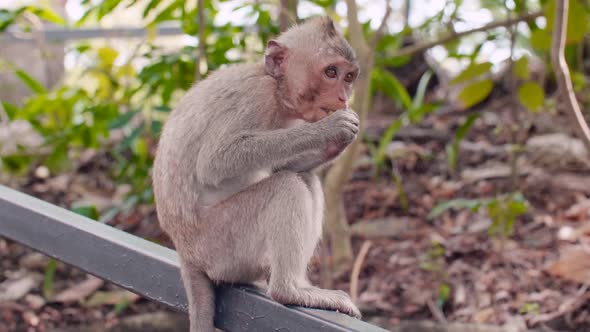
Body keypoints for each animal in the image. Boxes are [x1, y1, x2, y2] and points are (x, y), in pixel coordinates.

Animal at [154, 16, 360, 332]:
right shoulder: (256, 97)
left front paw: (338, 139)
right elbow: (216, 161)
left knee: (305, 179)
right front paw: (330, 129)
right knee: (286, 186)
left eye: (348, 77)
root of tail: (186, 254)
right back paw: (289, 290)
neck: (277, 90)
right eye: (331, 72)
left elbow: (282, 165)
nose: (342, 97)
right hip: (220, 245)